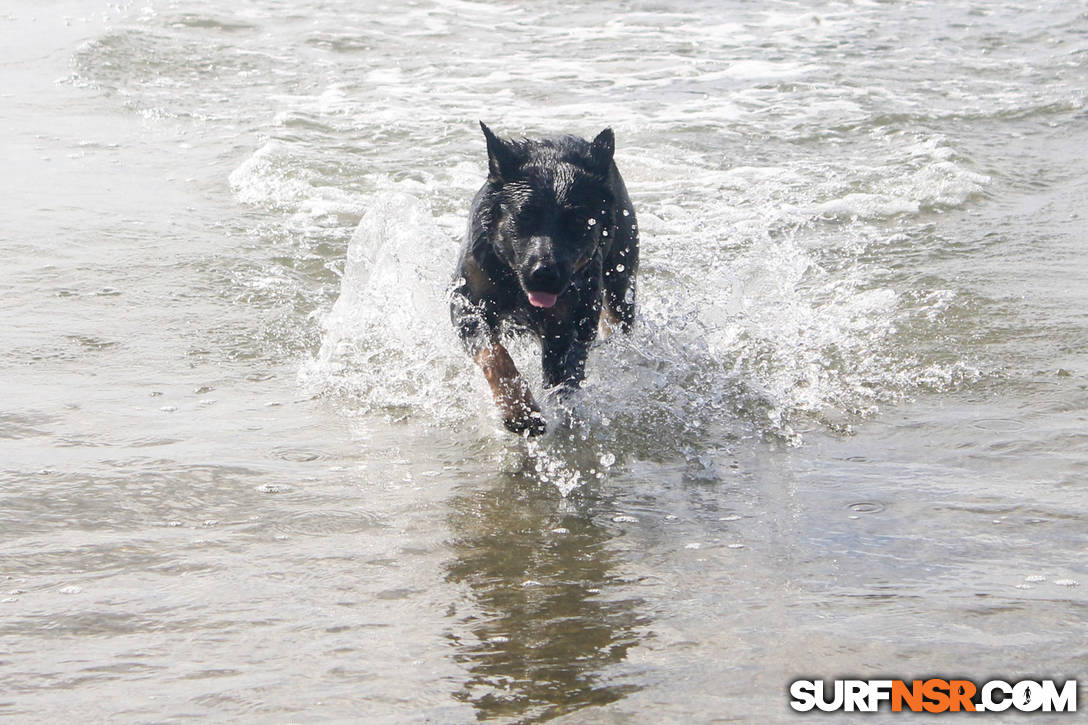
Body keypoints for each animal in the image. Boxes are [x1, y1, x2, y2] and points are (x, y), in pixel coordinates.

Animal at [448, 123, 635, 435]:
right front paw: (519, 411)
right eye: (525, 216)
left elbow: (563, 374)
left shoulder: (571, 319)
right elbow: (494, 354)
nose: (544, 274)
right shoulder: (468, 302)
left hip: (621, 280)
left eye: (578, 221)